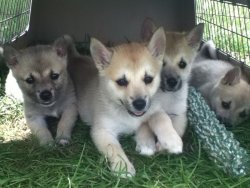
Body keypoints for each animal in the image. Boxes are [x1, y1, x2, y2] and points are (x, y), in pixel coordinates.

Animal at [69, 27, 183, 176]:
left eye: (148, 79)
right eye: (121, 81)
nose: (140, 104)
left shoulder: (154, 110)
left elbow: (162, 119)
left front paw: (172, 140)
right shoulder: (102, 131)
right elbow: (113, 148)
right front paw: (123, 167)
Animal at [135, 17, 203, 156]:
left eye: (182, 64)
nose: (172, 81)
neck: (165, 96)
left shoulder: (179, 115)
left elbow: (176, 129)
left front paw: (166, 144)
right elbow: (150, 124)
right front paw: (146, 143)